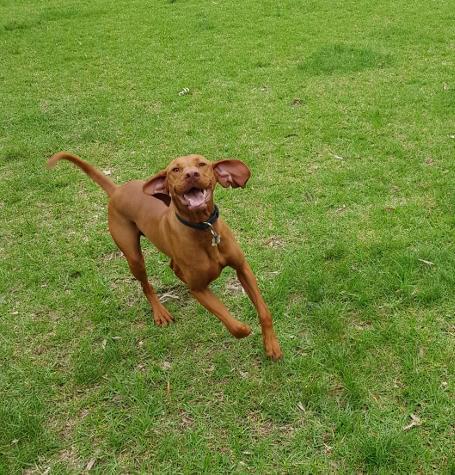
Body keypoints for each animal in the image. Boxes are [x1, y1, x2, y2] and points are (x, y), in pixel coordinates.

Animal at [46, 153, 282, 360]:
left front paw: (272, 346)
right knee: (146, 285)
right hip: (133, 256)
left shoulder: (243, 268)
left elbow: (264, 311)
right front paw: (245, 329)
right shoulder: (198, 289)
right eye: (175, 170)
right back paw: (160, 312)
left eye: (202, 163)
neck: (203, 228)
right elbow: (232, 324)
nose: (191, 174)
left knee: (173, 267)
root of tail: (118, 190)